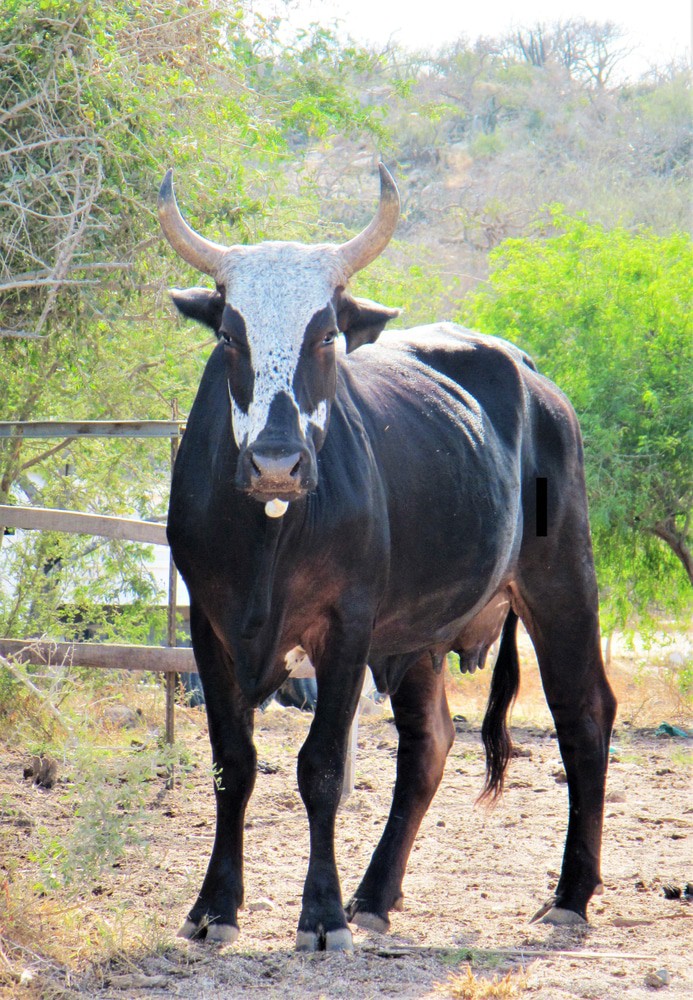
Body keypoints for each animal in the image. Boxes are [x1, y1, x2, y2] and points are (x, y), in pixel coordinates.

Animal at [158, 164, 616, 952]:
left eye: (326, 335)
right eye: (229, 334)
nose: (276, 461)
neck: (269, 537)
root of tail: (532, 378)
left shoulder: (346, 626)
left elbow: (319, 767)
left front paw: (318, 917)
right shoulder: (208, 627)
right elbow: (232, 763)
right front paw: (216, 907)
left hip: (561, 582)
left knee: (584, 714)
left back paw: (570, 896)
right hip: (419, 636)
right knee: (429, 743)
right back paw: (373, 896)